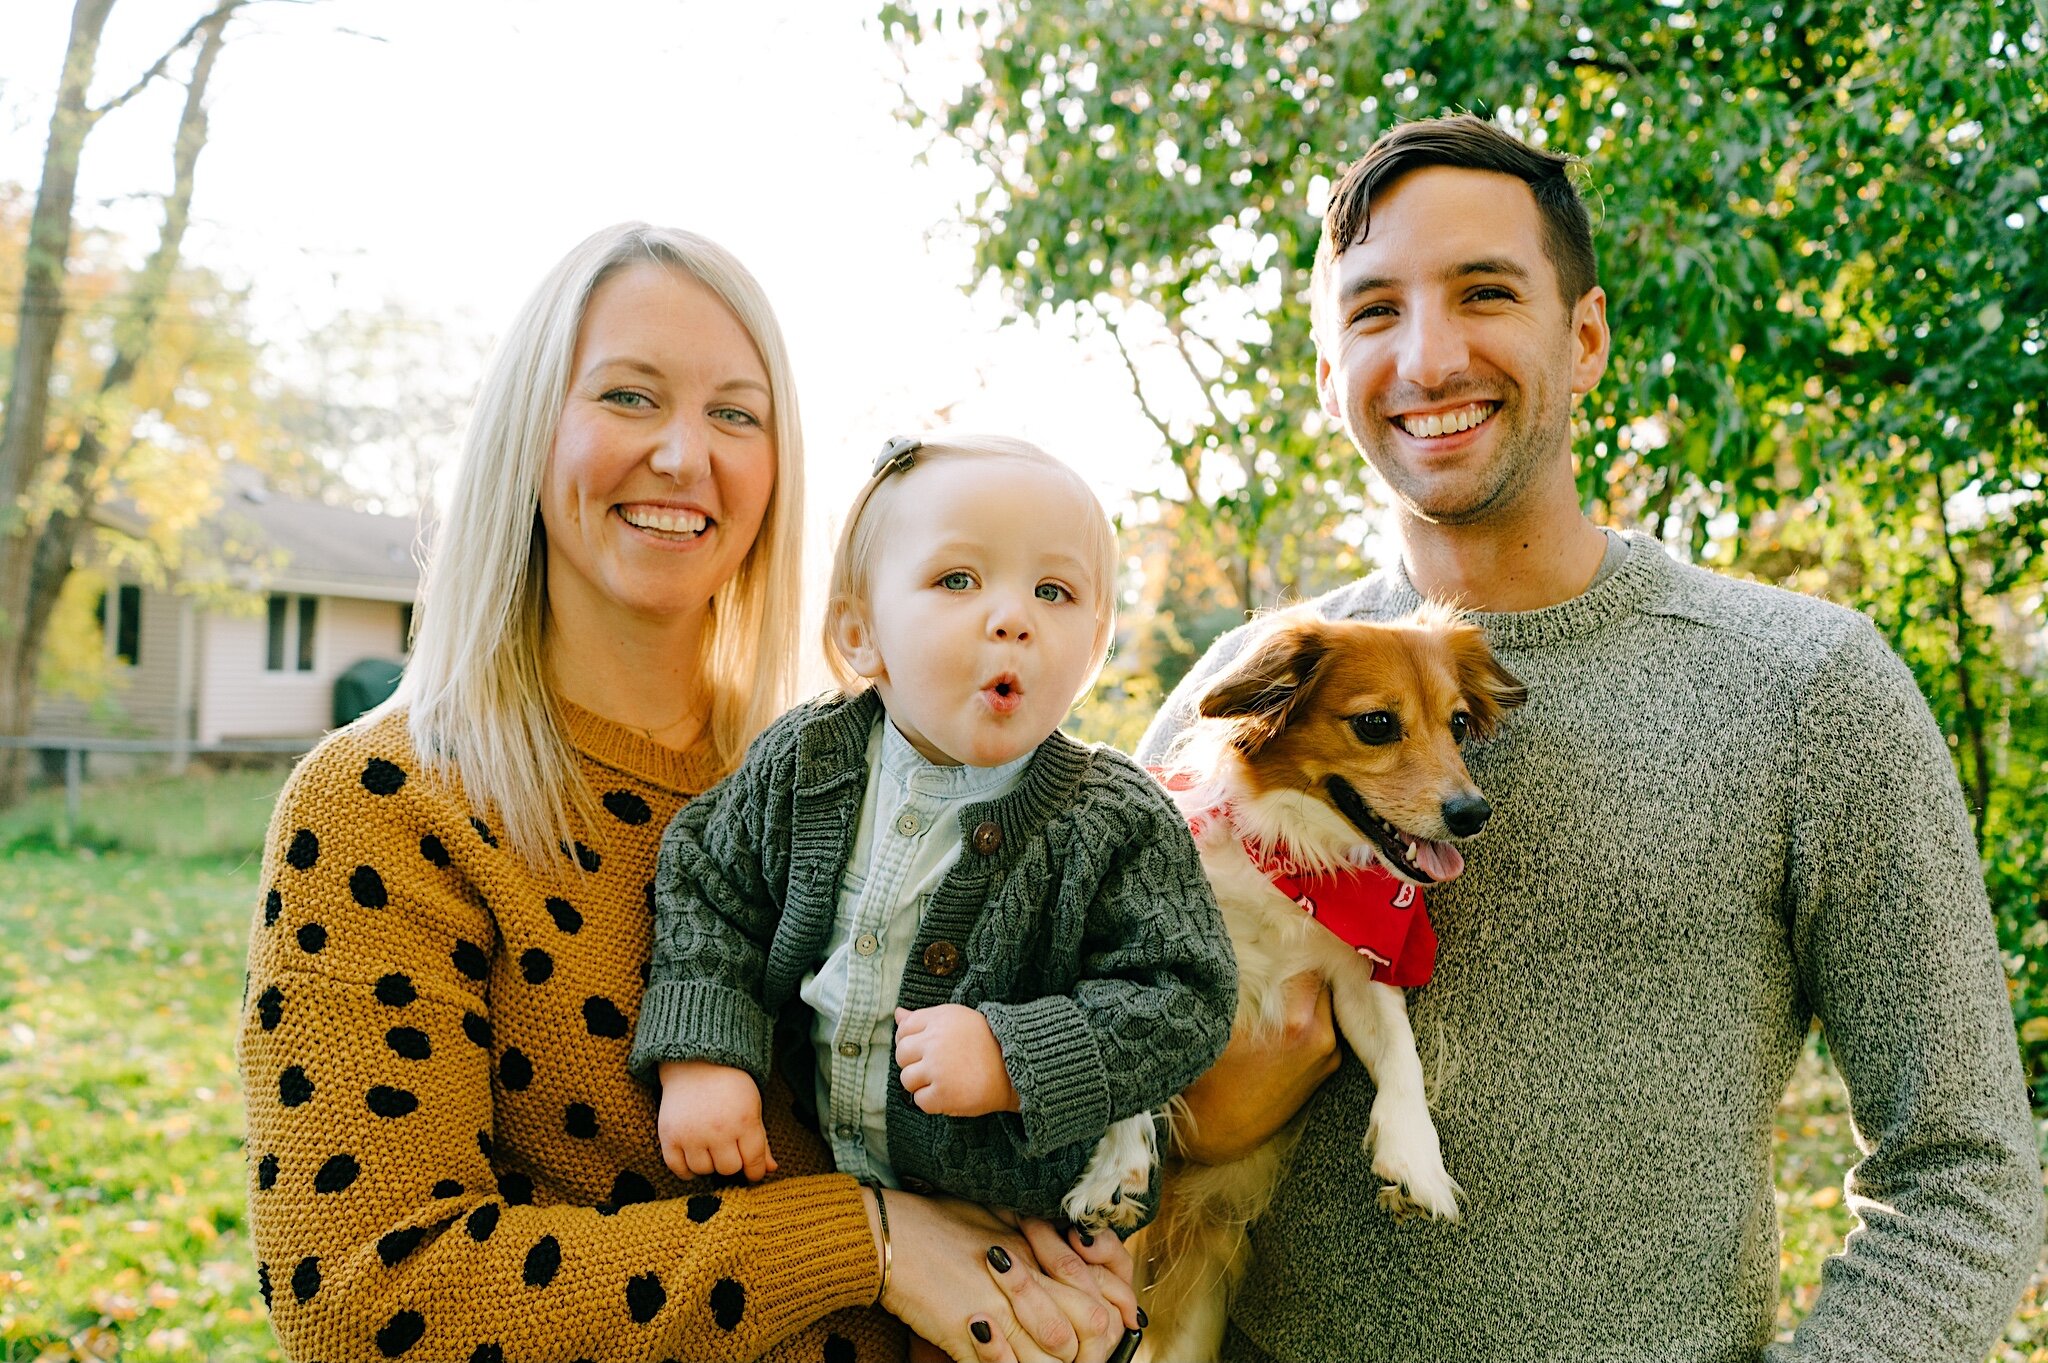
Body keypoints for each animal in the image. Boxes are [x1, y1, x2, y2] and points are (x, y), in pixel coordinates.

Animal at [1138, 605, 1523, 1358]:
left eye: (1459, 724)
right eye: (1376, 724)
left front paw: (1416, 1158)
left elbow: (1400, 1055)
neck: (1298, 864)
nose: (1473, 813)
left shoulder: (1355, 975)